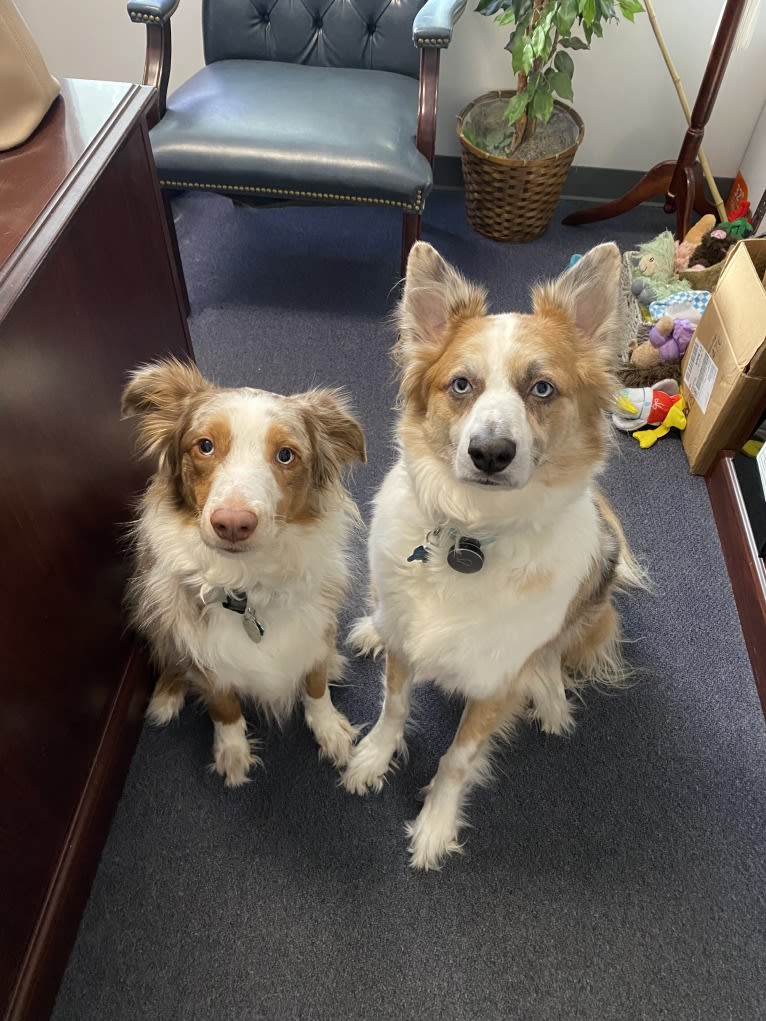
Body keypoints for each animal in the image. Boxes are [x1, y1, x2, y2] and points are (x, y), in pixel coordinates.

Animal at [122, 359, 365, 788]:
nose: (233, 523)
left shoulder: (316, 632)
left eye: (286, 455)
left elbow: (316, 685)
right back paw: (167, 694)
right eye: (205, 446)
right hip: (152, 605)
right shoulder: (208, 659)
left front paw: (330, 730)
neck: (248, 587)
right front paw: (233, 753)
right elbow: (224, 707)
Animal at [341, 240, 641, 869]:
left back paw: (550, 697)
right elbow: (394, 706)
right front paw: (373, 757)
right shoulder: (407, 645)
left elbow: (458, 758)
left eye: (542, 388)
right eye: (461, 385)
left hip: (596, 589)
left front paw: (435, 824)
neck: (471, 534)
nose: (490, 453)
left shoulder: (495, 681)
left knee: (558, 651)